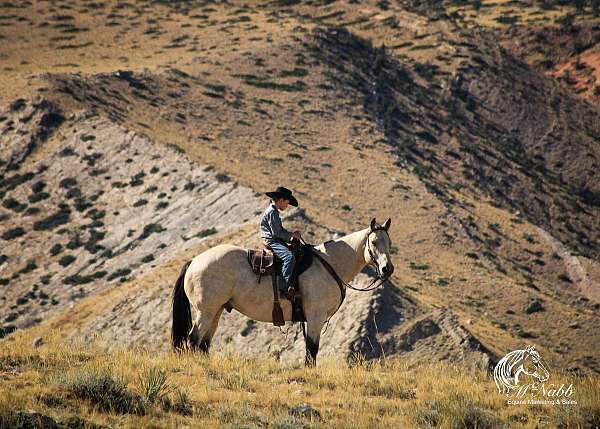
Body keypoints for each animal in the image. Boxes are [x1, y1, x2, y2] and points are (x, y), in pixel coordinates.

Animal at [170, 217, 394, 364]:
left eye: (389, 242)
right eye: (374, 242)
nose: (387, 269)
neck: (329, 263)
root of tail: (193, 261)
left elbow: (309, 350)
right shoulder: (315, 316)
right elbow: (312, 350)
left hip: (216, 311)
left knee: (203, 344)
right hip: (205, 312)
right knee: (193, 339)